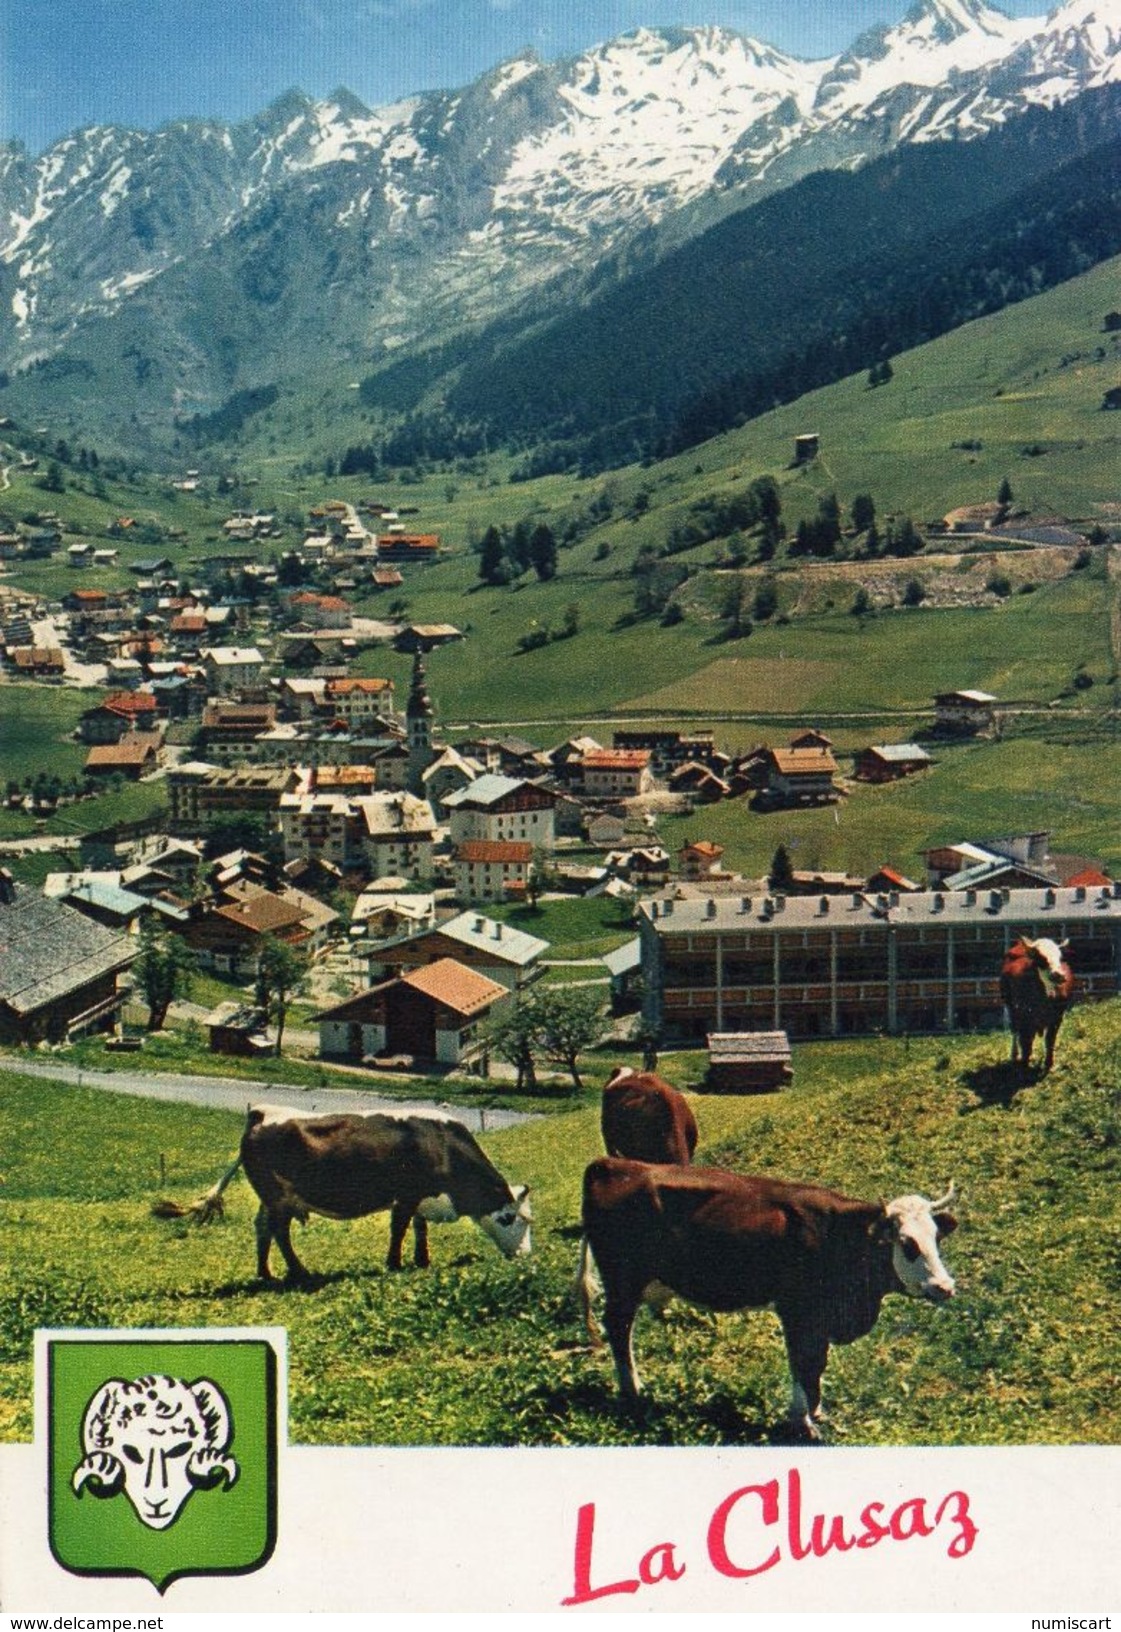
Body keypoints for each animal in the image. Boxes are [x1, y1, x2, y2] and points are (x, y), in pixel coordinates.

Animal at [176, 1103, 535, 1279]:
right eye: (507, 1218)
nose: (524, 1255)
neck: (441, 1145)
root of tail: (262, 1112)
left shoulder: (421, 1197)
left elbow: (420, 1228)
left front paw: (422, 1260)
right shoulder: (406, 1196)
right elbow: (399, 1229)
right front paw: (394, 1263)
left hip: (270, 1199)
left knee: (262, 1228)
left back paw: (266, 1273)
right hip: (279, 1198)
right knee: (279, 1232)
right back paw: (300, 1273)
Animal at [577, 1161, 952, 1442]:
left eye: (935, 1237)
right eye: (907, 1243)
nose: (945, 1286)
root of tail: (610, 1164)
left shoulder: (819, 1316)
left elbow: (817, 1364)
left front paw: (816, 1411)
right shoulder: (798, 1311)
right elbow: (803, 1363)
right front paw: (802, 1422)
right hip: (623, 1282)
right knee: (619, 1328)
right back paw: (633, 1389)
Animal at [998, 940, 1076, 1077]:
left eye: (1060, 957)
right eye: (1041, 958)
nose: (1060, 975)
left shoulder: (1057, 1017)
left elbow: (1050, 1040)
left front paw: (1049, 1064)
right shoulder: (1023, 1016)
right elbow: (1025, 1042)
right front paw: (1023, 1065)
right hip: (1011, 1008)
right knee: (1015, 1032)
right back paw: (1015, 1055)